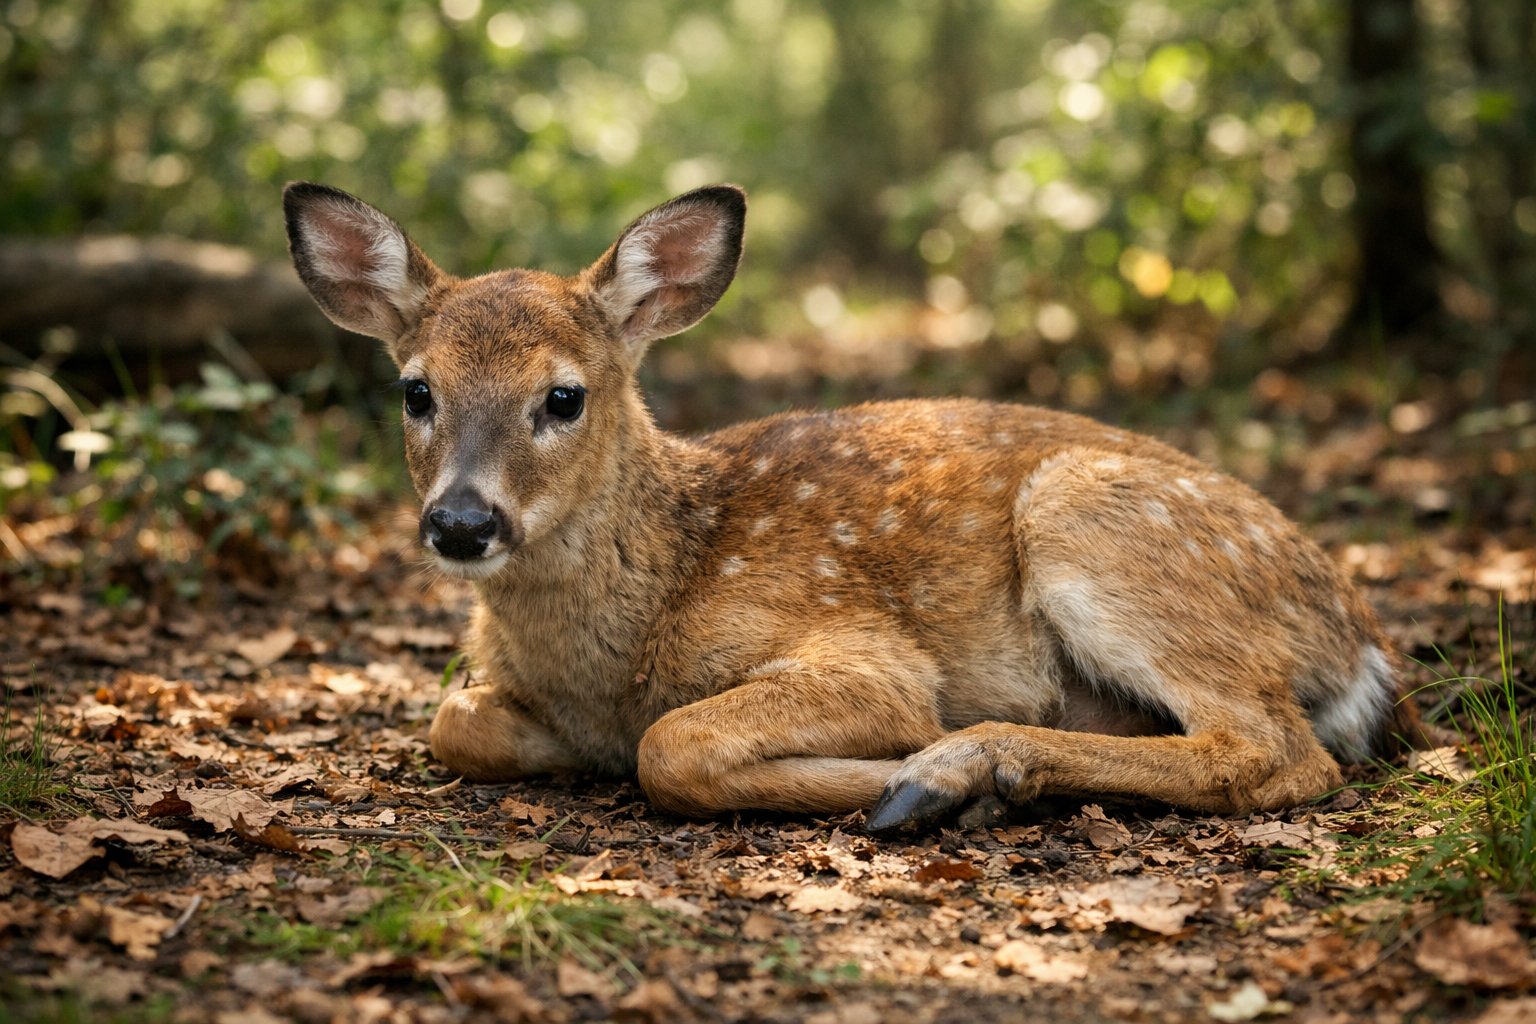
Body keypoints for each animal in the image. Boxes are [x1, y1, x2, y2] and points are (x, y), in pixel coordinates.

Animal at [283, 181, 1420, 831]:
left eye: (563, 396)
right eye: (415, 390)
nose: (462, 524)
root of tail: (1360, 641)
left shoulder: (861, 648)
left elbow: (672, 745)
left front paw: (893, 767)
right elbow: (455, 717)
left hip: (1095, 516)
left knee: (1275, 750)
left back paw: (964, 771)